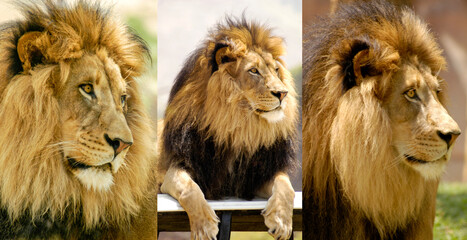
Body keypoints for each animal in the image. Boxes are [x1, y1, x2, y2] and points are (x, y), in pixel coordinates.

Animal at [159, 16, 300, 240]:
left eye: (276, 70)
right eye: (253, 71)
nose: (283, 93)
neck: (238, 126)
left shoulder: (256, 176)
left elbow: (286, 187)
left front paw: (281, 221)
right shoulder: (177, 168)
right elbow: (189, 189)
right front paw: (204, 227)